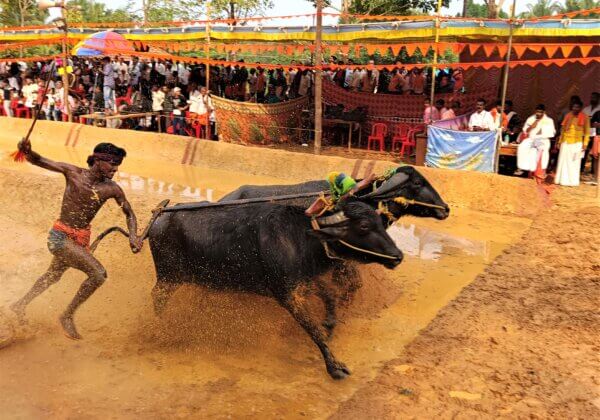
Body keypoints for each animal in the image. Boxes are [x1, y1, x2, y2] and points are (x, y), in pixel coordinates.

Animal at [148, 199, 404, 378]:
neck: (300, 238)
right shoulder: (287, 295)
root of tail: (159, 218)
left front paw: (330, 325)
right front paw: (334, 366)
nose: (398, 256)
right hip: (168, 278)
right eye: (363, 226)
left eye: (380, 222)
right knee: (157, 298)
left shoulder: (307, 281)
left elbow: (330, 298)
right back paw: (162, 329)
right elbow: (312, 329)